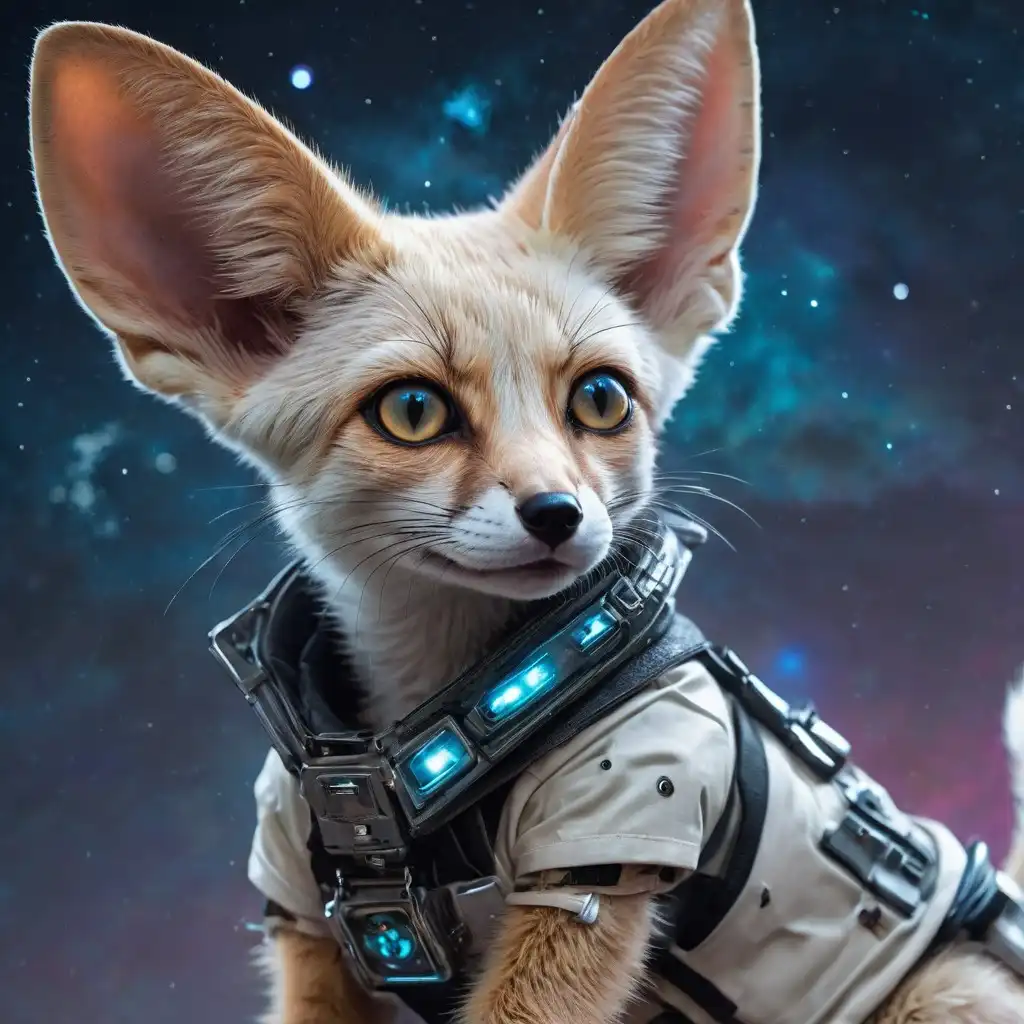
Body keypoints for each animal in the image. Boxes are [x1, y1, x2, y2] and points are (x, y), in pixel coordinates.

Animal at [28, 1, 1024, 1023]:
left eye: (601, 399)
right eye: (413, 411)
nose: (559, 512)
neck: (406, 758)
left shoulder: (605, 854)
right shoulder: (302, 907)